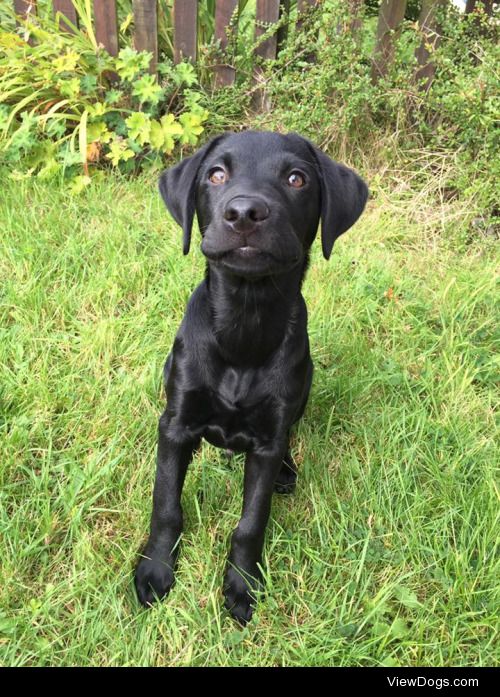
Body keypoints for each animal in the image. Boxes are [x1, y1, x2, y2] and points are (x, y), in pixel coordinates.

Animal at [133, 130, 368, 624]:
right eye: (216, 175)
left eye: (297, 178)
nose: (244, 213)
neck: (245, 323)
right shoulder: (175, 425)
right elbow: (166, 505)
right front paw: (156, 571)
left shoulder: (267, 439)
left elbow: (250, 523)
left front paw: (242, 584)